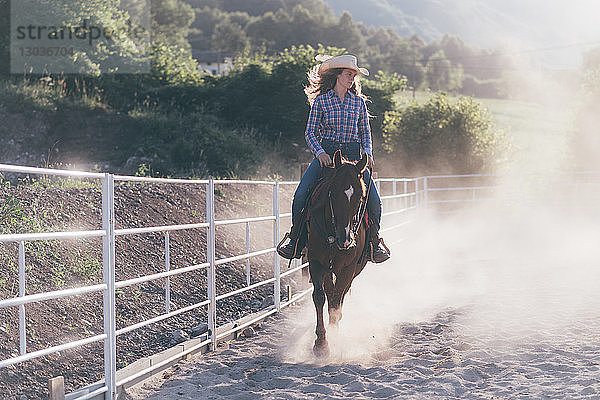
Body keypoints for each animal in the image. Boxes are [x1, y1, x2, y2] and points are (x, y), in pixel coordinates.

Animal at [310, 150, 370, 356]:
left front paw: (334, 338)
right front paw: (321, 343)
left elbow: (336, 301)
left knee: (340, 295)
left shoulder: (349, 268)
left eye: (360, 196)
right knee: (330, 293)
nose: (345, 240)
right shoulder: (316, 262)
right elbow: (320, 297)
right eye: (333, 193)